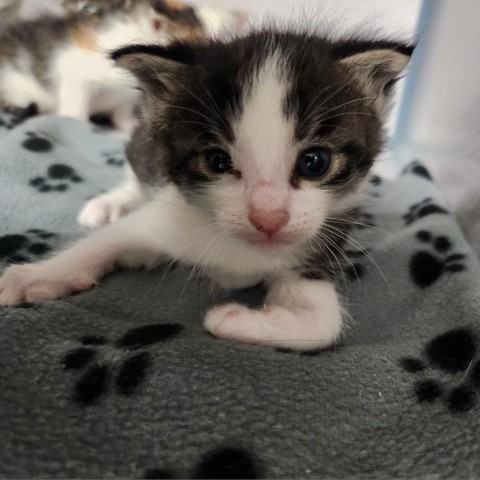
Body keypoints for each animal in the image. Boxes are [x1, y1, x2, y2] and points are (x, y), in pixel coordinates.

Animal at [0, 31, 412, 352]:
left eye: (315, 162)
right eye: (217, 161)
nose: (268, 218)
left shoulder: (317, 249)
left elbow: (323, 326)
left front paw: (230, 319)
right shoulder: (165, 213)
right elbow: (96, 246)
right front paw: (33, 278)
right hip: (143, 143)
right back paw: (113, 204)